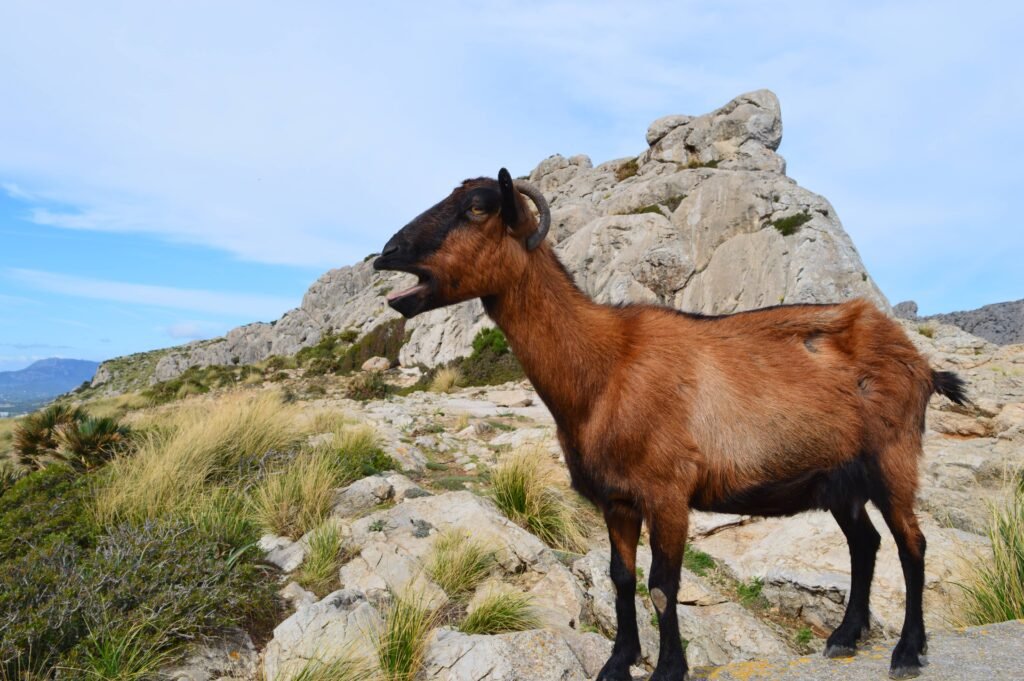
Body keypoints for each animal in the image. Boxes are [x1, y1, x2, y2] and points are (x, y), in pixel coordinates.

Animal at [373, 169, 967, 681]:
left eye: (477, 207)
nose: (387, 255)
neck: (605, 367)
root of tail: (920, 363)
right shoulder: (617, 499)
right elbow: (621, 579)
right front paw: (617, 663)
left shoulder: (668, 492)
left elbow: (662, 585)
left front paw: (667, 669)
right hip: (839, 480)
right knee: (865, 544)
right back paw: (845, 636)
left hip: (893, 458)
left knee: (912, 544)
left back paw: (907, 651)